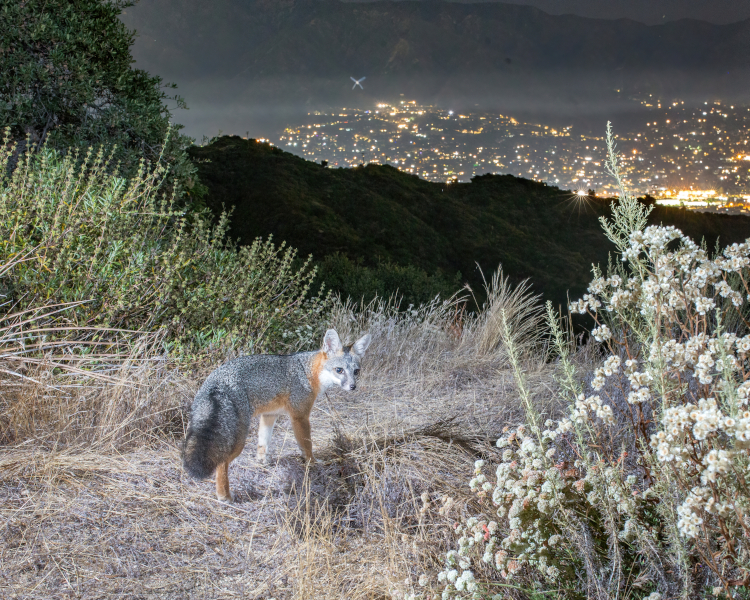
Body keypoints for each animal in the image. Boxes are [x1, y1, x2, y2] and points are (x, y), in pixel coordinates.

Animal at [182, 328, 370, 502]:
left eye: (356, 371)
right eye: (339, 370)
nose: (353, 387)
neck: (308, 372)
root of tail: (217, 382)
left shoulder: (269, 415)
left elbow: (263, 443)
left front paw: (262, 462)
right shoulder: (300, 417)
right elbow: (307, 445)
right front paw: (313, 463)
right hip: (238, 438)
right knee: (222, 462)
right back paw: (224, 496)